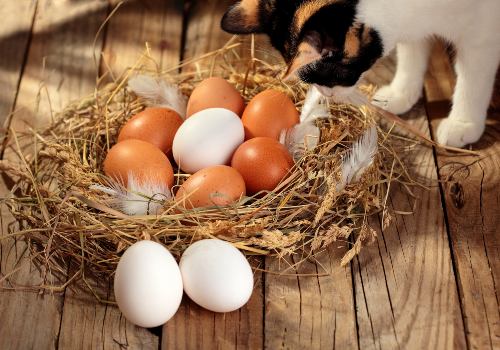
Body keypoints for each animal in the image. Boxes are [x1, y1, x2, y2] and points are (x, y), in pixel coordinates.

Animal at [221, 0, 500, 148]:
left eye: (333, 75)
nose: (327, 95)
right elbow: (412, 51)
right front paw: (401, 93)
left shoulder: (483, 33)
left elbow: (472, 80)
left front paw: (463, 122)